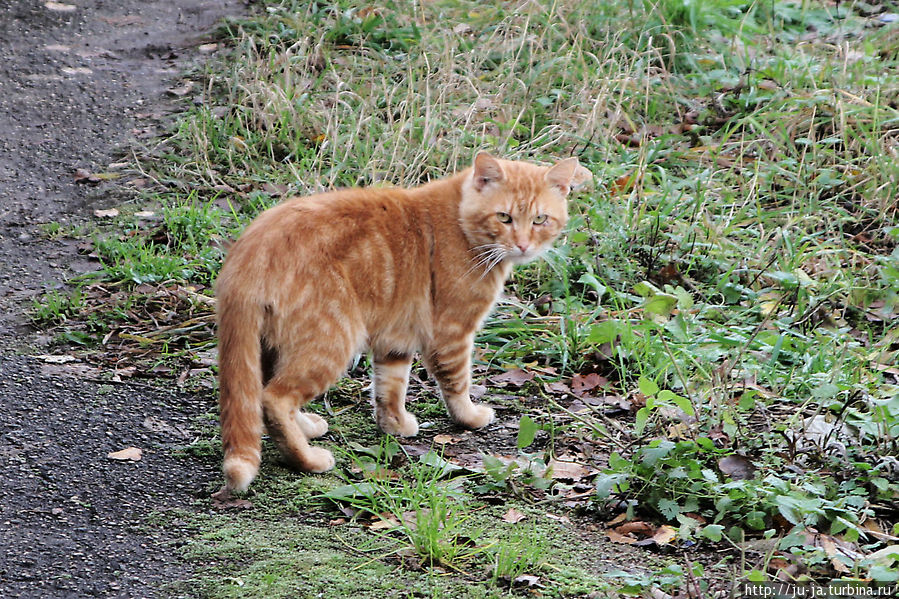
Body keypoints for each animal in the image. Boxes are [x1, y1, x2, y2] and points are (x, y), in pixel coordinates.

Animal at [217, 154, 592, 492]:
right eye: (505, 217)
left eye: (540, 219)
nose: (524, 245)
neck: (460, 224)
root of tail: (248, 254)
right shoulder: (451, 332)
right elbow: (457, 383)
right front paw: (469, 417)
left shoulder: (395, 335)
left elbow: (390, 386)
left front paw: (393, 425)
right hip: (331, 341)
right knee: (274, 398)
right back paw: (307, 459)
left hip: (272, 346)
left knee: (264, 393)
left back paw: (306, 427)